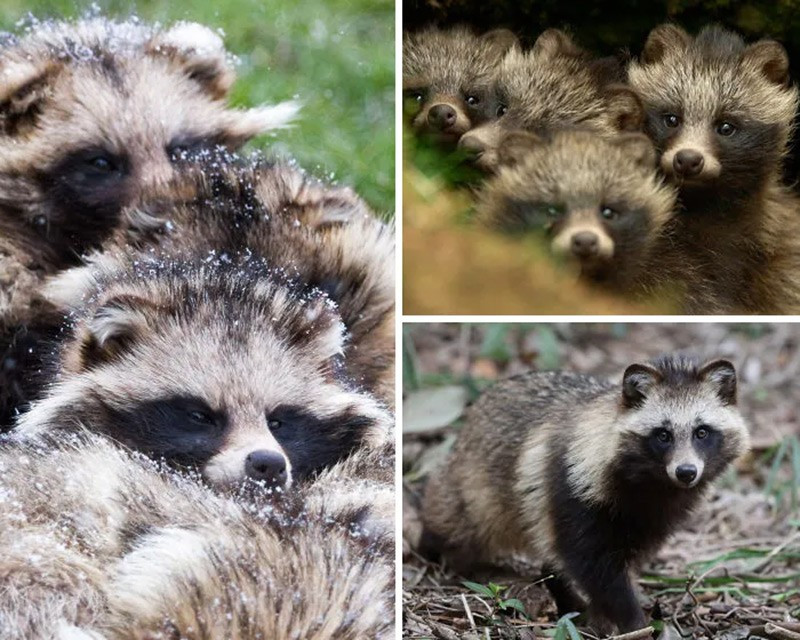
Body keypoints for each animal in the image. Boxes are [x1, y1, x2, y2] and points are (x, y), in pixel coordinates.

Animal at [421, 355, 750, 634]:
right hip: (474, 486)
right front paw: (632, 621)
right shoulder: (570, 484)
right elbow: (593, 565)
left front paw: (605, 615)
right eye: (663, 435)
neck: (653, 484)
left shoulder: (652, 518)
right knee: (465, 521)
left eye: (702, 432)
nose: (686, 472)